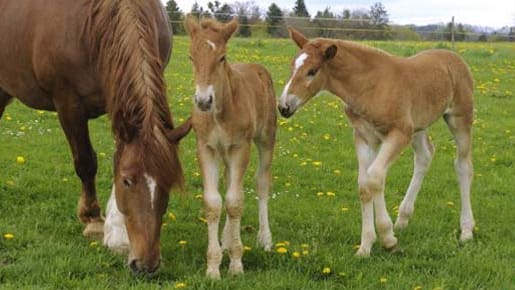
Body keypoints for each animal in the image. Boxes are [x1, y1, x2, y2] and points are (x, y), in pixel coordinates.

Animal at [0, 0, 191, 276]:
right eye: (127, 182)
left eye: (169, 183)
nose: (146, 265)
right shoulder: (69, 105)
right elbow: (86, 163)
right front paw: (93, 220)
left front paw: (117, 234)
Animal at [185, 16, 278, 278]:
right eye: (191, 57)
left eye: (222, 58)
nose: (203, 101)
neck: (218, 112)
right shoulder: (206, 148)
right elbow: (214, 203)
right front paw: (213, 266)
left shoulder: (239, 147)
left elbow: (235, 202)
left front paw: (236, 264)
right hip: (224, 153)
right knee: (228, 182)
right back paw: (225, 240)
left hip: (266, 138)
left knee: (262, 183)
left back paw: (264, 239)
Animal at [280, 28, 478, 258]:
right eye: (292, 66)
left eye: (312, 71)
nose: (284, 106)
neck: (368, 85)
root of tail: (455, 57)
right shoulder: (364, 137)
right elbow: (363, 185)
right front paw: (365, 246)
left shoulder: (399, 134)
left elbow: (374, 178)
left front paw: (388, 239)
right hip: (418, 127)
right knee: (424, 156)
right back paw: (403, 218)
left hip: (459, 118)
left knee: (463, 166)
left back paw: (466, 230)